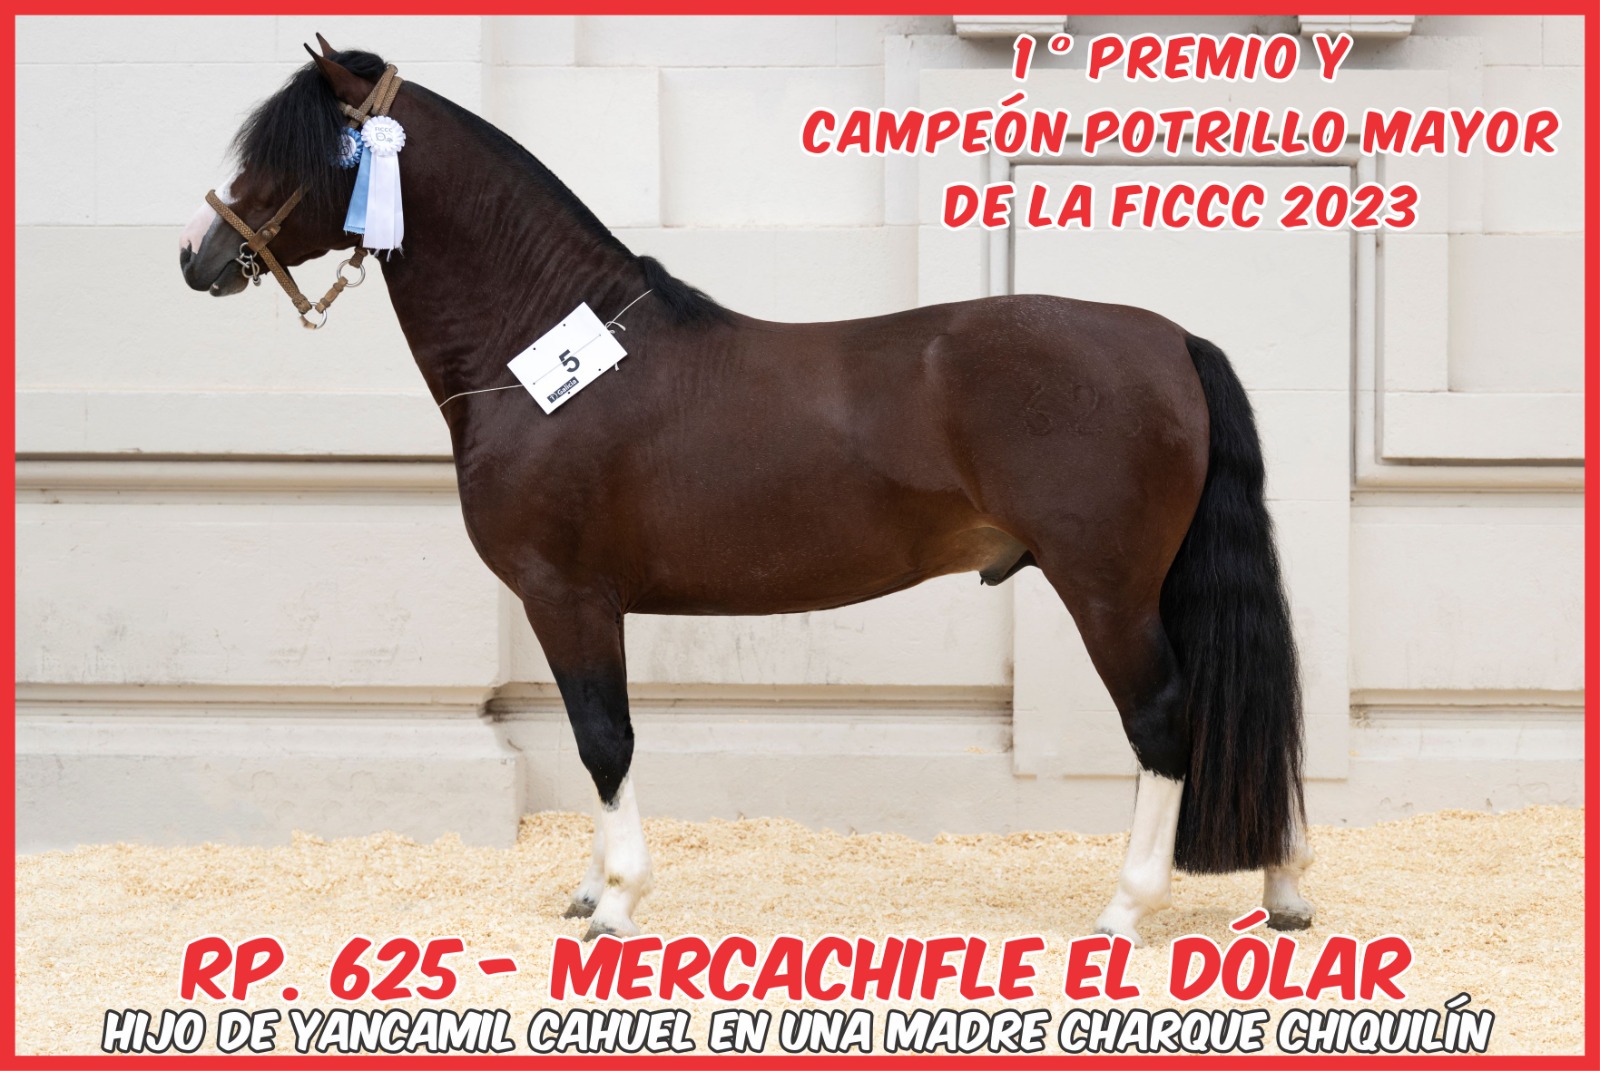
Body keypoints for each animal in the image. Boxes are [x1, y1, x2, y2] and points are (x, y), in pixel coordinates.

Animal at [179, 41, 1314, 945]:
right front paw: (589, 890)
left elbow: (604, 738)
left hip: (1106, 587)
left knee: (1165, 719)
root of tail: (1168, 339)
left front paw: (618, 902)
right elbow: (592, 739)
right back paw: (1284, 891)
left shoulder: (568, 595)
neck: (547, 353)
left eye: (304, 152)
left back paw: (1125, 910)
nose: (200, 257)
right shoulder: (570, 604)